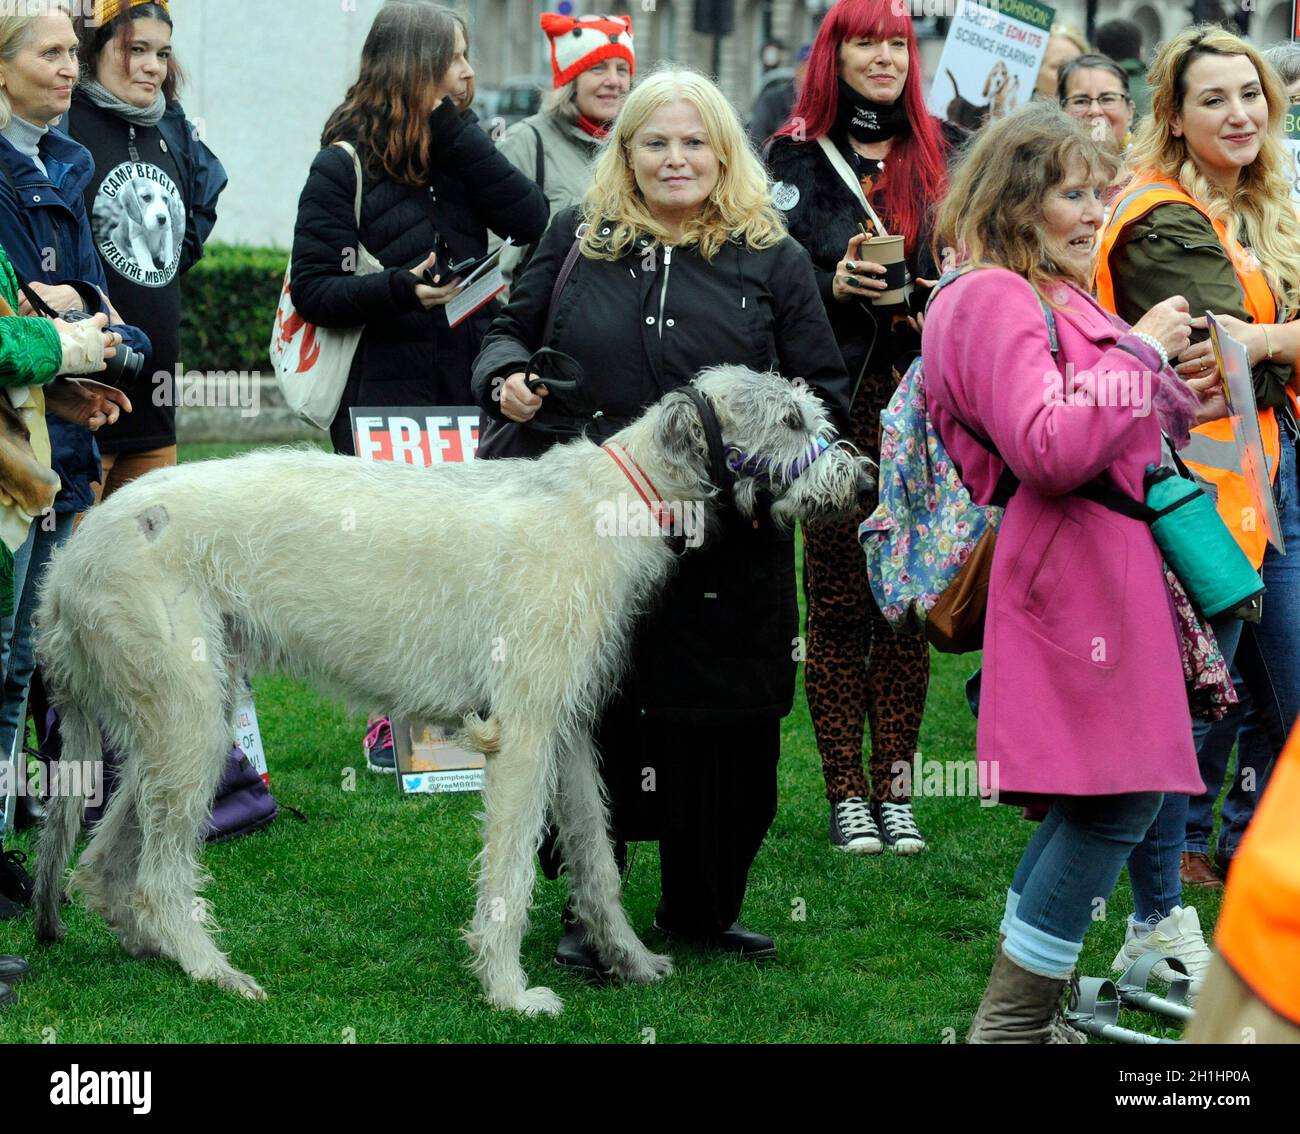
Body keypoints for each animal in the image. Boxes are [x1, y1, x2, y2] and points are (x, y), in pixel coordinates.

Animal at [32, 366, 863, 1014]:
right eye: (792, 420)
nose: (864, 481)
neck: (618, 494)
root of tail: (68, 561)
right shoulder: (522, 728)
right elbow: (513, 865)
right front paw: (508, 990)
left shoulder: (566, 726)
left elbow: (595, 855)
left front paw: (629, 958)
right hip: (188, 707)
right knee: (160, 872)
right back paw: (210, 967)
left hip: (177, 713)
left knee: (104, 859)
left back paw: (152, 946)